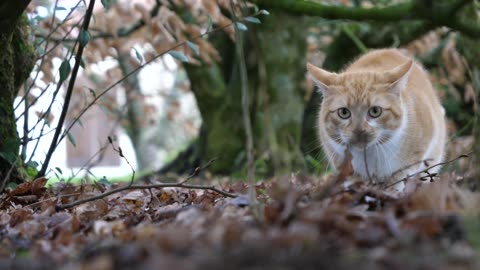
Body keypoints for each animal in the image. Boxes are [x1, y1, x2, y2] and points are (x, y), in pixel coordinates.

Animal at [308, 48, 446, 186]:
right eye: (344, 112)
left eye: (375, 111)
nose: (359, 131)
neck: (370, 155)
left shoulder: (416, 155)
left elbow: (398, 178)